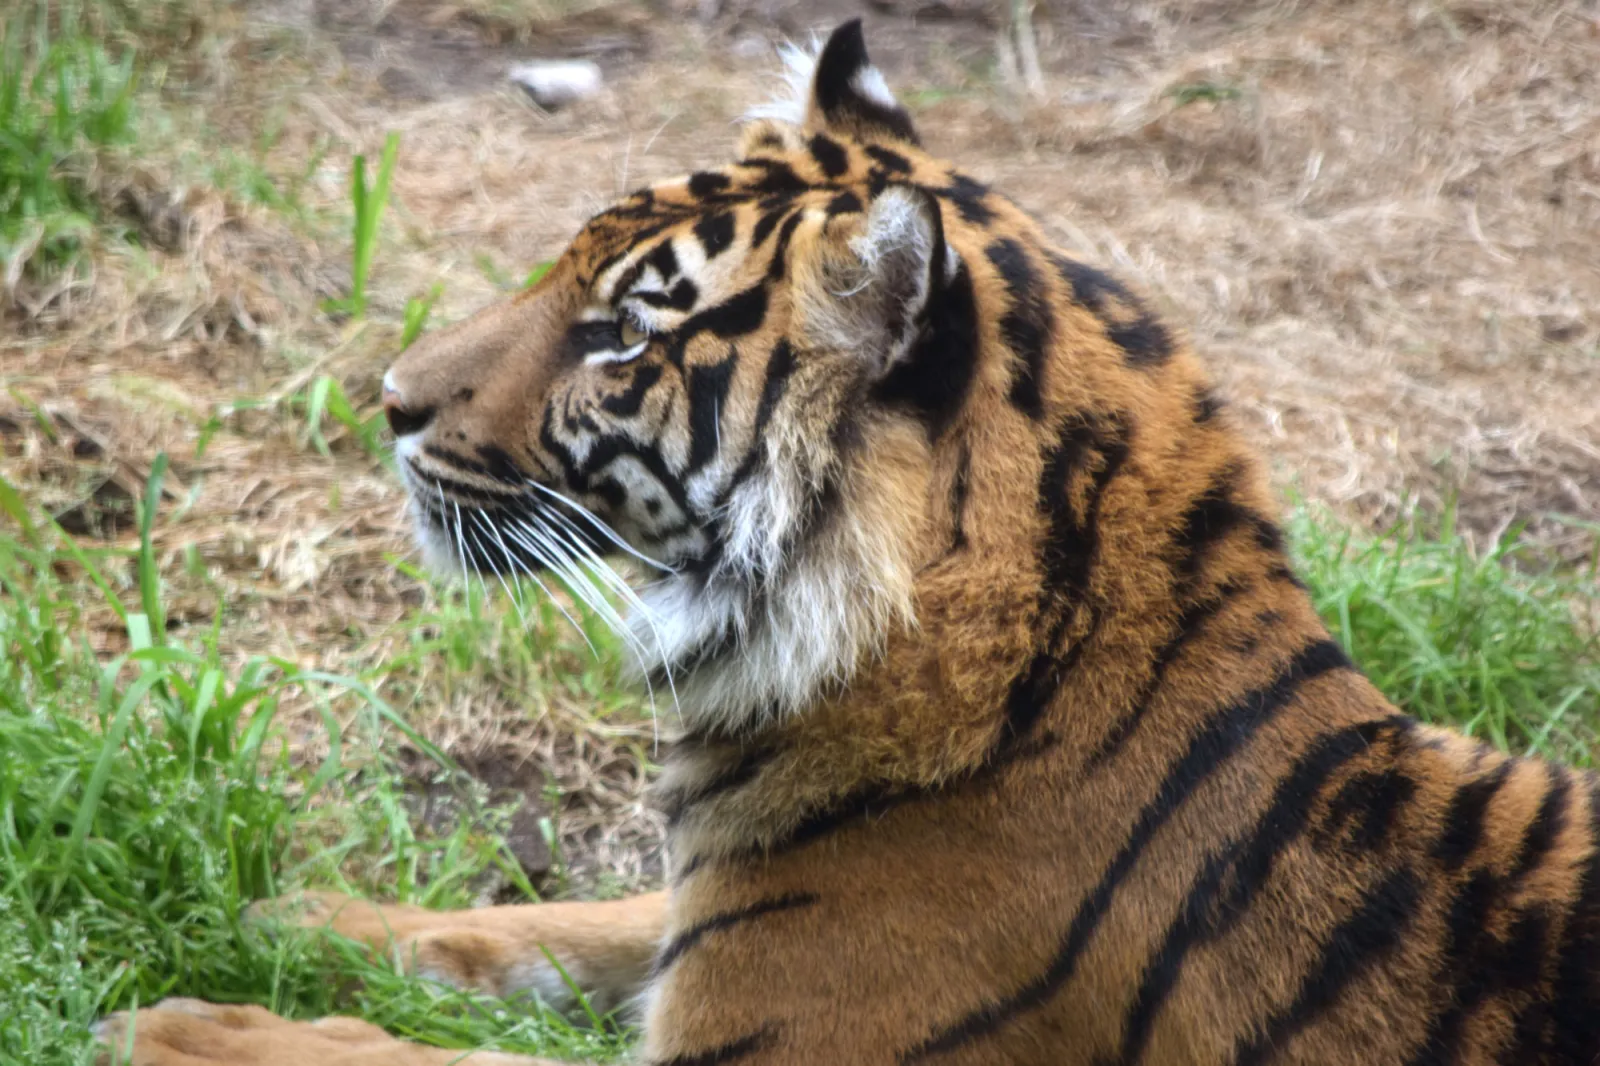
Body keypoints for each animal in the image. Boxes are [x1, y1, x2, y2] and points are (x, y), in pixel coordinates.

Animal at [98, 18, 1600, 1066]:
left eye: (622, 332)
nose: (391, 399)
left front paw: (180, 1022)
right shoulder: (711, 908)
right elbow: (561, 918)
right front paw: (297, 918)